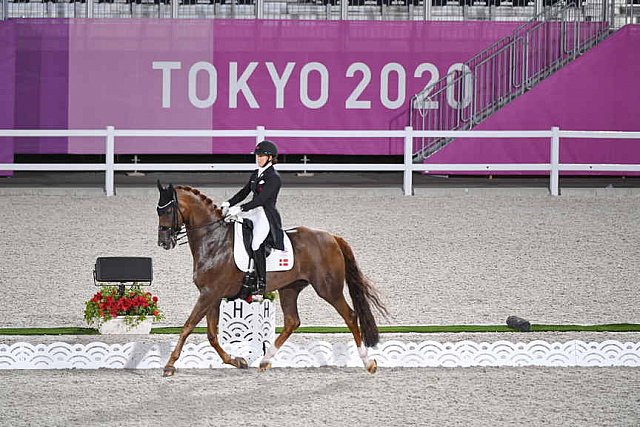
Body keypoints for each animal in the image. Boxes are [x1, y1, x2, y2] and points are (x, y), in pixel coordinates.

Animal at [157, 182, 388, 376]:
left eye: (167, 210)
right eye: (158, 210)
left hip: (328, 289)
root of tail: (332, 237)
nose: (163, 242)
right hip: (290, 288)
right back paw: (265, 360)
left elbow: (187, 327)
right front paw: (237, 361)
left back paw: (368, 363)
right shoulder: (212, 296)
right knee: (292, 321)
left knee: (350, 316)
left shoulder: (209, 294)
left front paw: (169, 365)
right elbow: (212, 335)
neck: (215, 242)